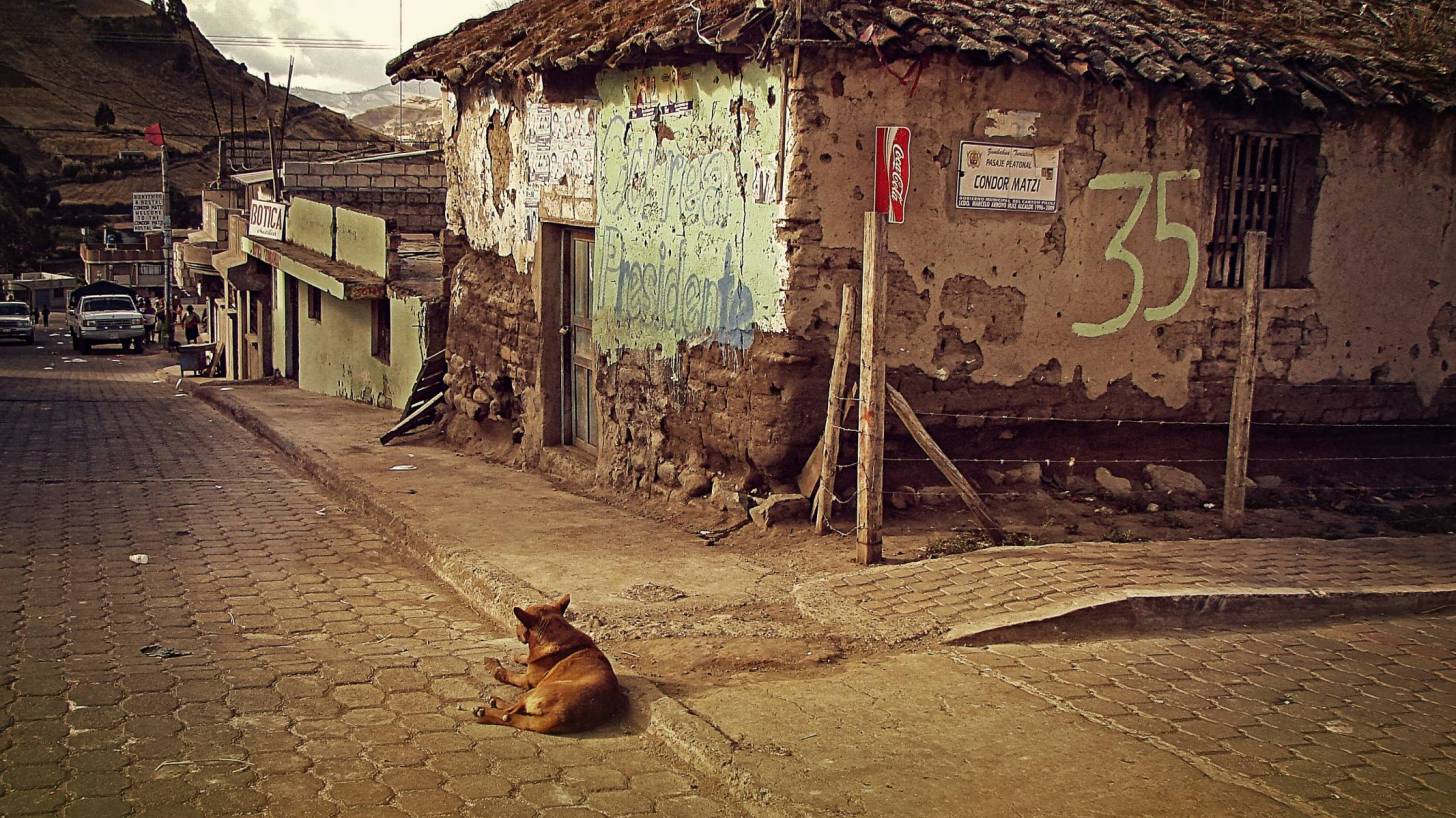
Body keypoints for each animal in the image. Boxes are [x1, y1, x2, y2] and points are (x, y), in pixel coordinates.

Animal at [471, 590, 620, 733]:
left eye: (520, 623)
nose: (515, 629)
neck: (554, 634)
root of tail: (559, 716)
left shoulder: (527, 680)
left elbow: (508, 674)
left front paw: (495, 667)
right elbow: (527, 658)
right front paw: (520, 657)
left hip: (534, 691)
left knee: (509, 712)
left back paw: (485, 710)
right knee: (513, 715)